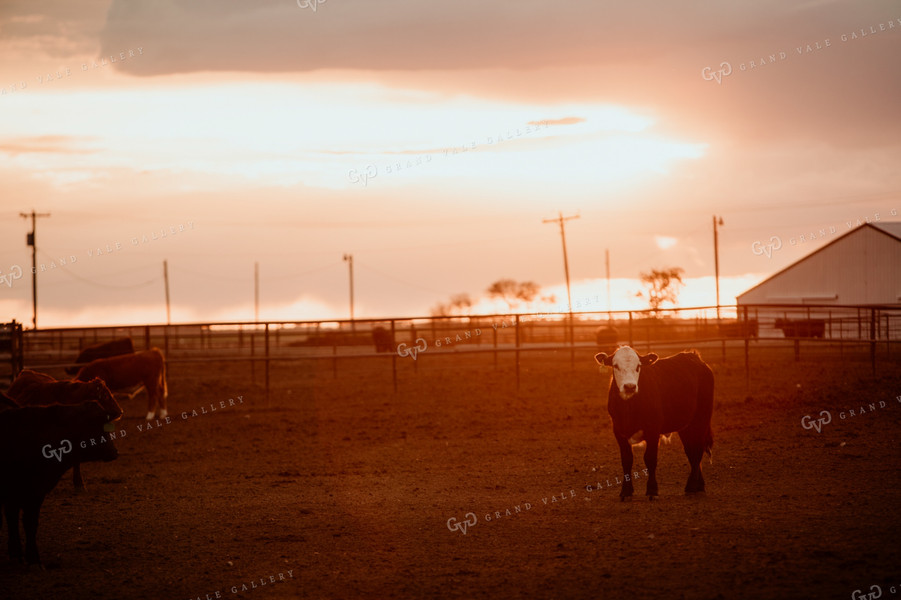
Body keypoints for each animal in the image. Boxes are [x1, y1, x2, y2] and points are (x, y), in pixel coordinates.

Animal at [596, 344, 712, 500]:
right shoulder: (619, 431)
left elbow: (650, 458)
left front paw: (652, 489)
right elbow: (626, 460)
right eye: (615, 365)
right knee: (691, 451)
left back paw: (691, 486)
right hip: (686, 426)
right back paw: (699, 486)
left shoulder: (653, 430)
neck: (629, 408)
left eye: (638, 366)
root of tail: (694, 357)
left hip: (701, 418)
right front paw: (626, 491)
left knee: (698, 450)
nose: (630, 386)